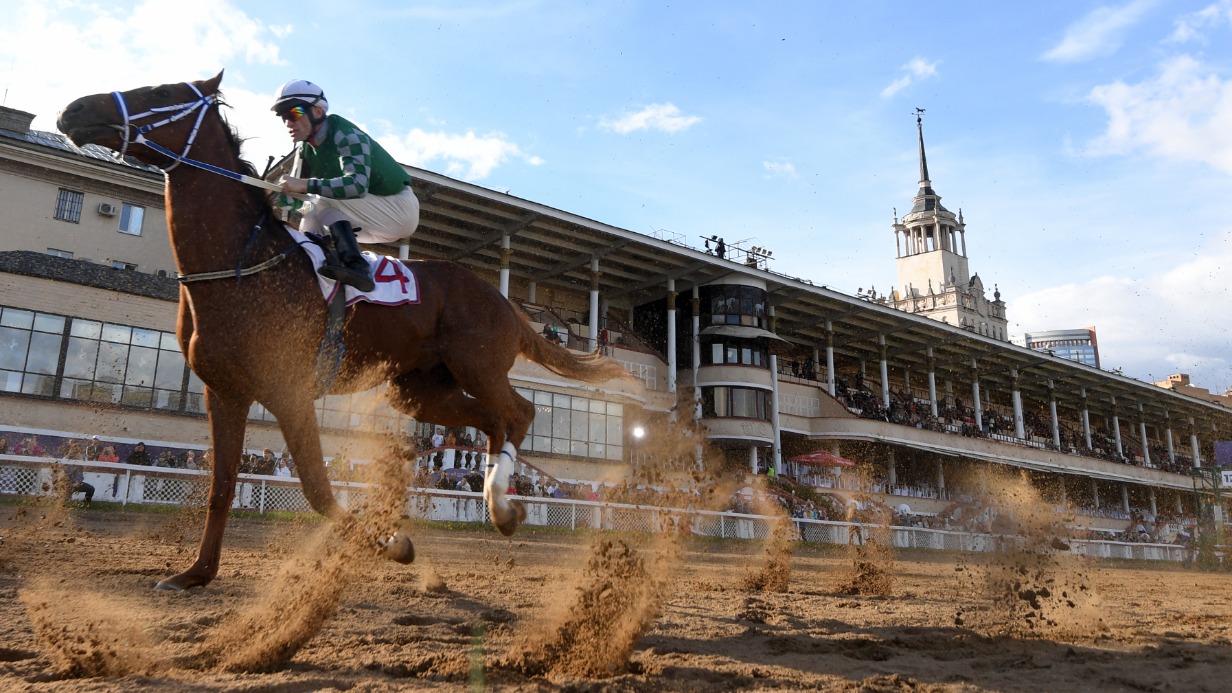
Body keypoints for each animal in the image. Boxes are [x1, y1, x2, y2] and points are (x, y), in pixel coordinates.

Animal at [58, 71, 630, 586]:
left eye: (160, 91)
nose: (72, 109)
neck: (241, 263)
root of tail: (505, 301)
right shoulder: (223, 391)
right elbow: (221, 484)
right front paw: (196, 574)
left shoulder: (289, 390)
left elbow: (318, 487)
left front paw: (395, 545)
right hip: (418, 390)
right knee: (492, 420)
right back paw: (498, 504)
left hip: (478, 364)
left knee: (519, 411)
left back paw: (502, 505)